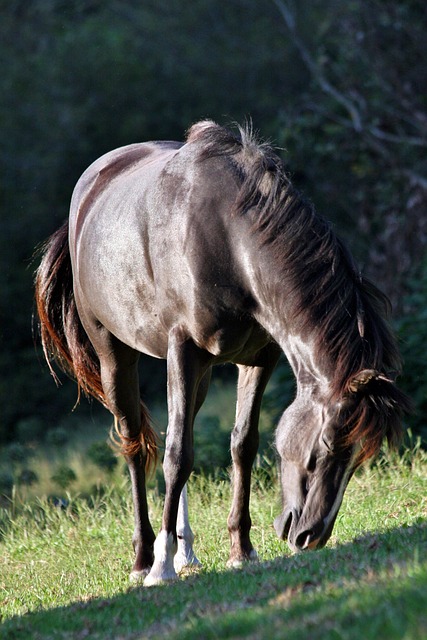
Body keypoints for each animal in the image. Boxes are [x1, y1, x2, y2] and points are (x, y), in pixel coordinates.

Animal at [34, 119, 412, 584]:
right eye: (328, 443)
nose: (309, 535)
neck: (227, 239)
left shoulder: (259, 358)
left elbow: (242, 444)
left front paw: (240, 549)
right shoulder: (184, 350)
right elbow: (178, 456)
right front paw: (161, 567)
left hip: (201, 373)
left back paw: (186, 551)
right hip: (114, 358)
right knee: (135, 444)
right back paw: (144, 558)